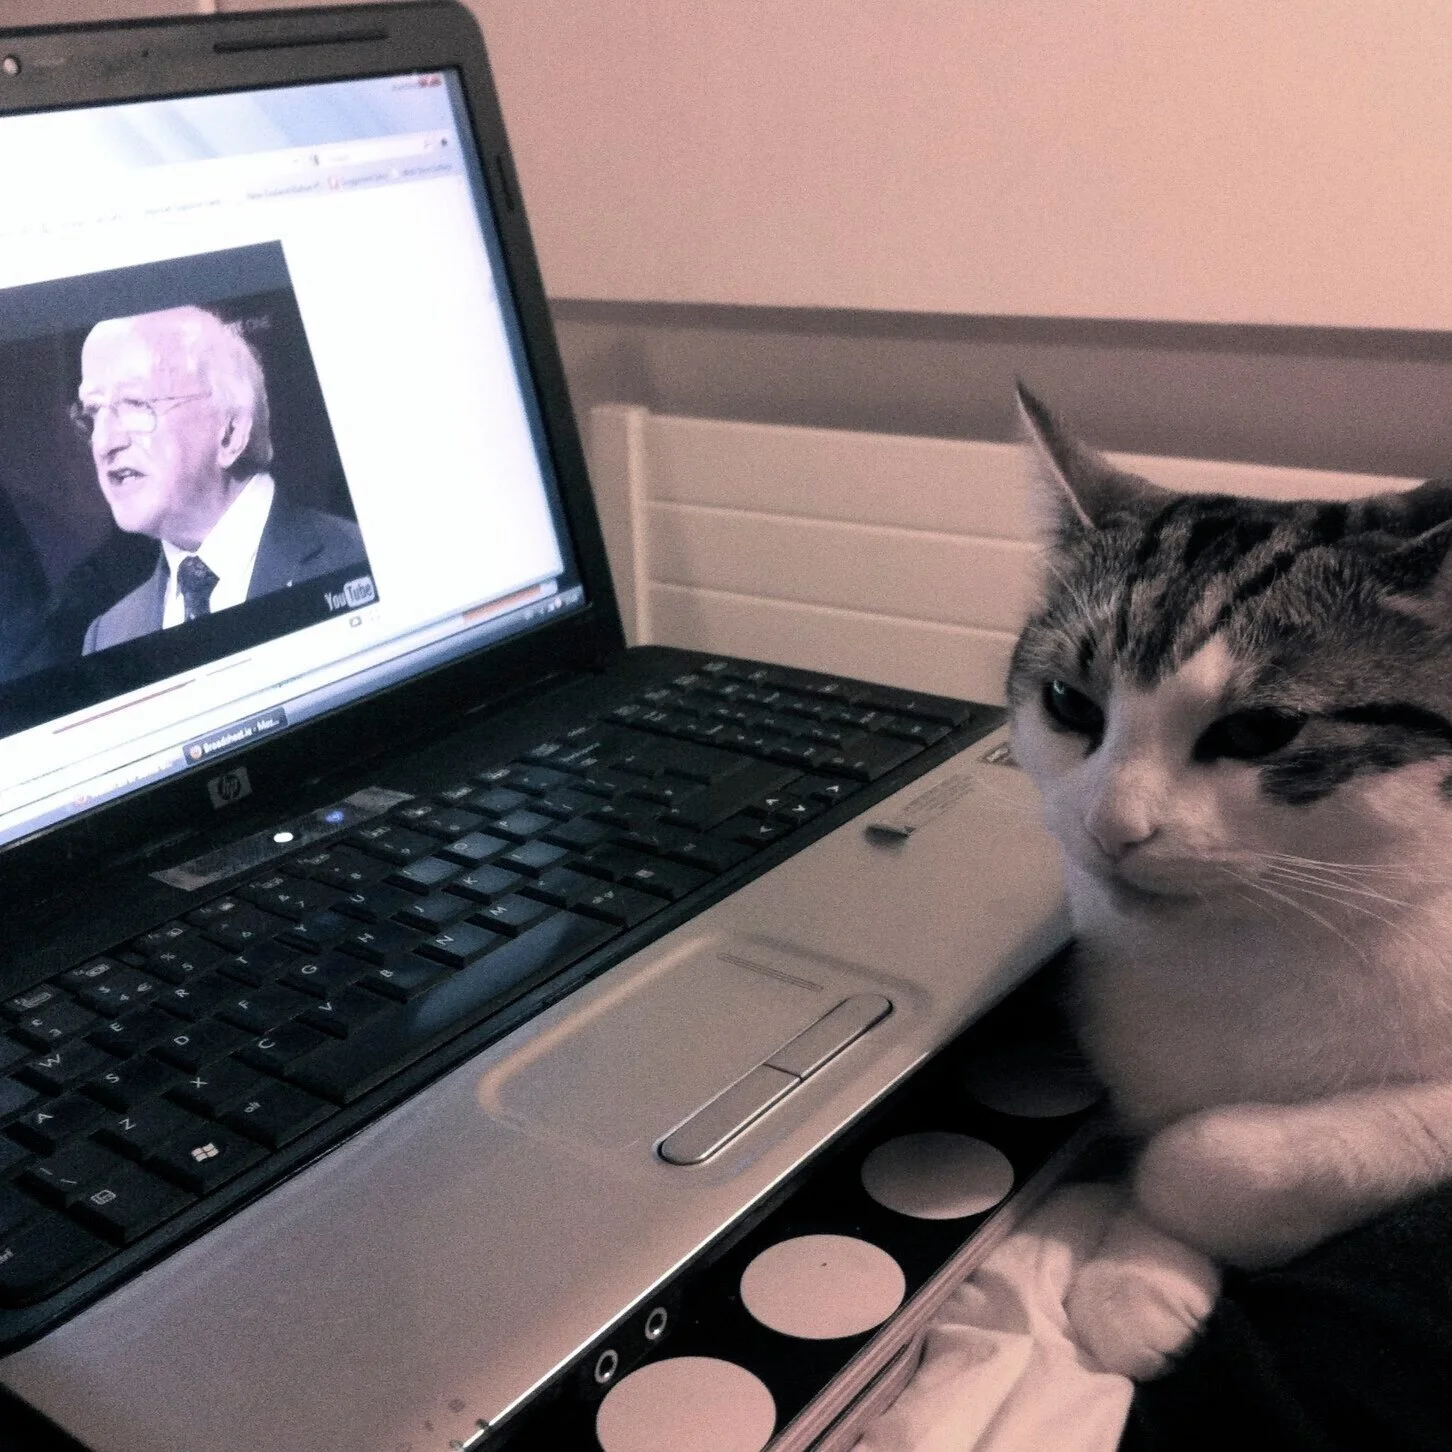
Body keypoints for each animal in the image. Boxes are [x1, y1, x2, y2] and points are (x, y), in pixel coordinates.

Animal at [1006, 382, 1452, 1380]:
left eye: (1255, 731)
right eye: (1068, 704)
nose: (1112, 828)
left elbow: (1219, 1151)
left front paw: (1152, 1205)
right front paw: (1140, 1271)